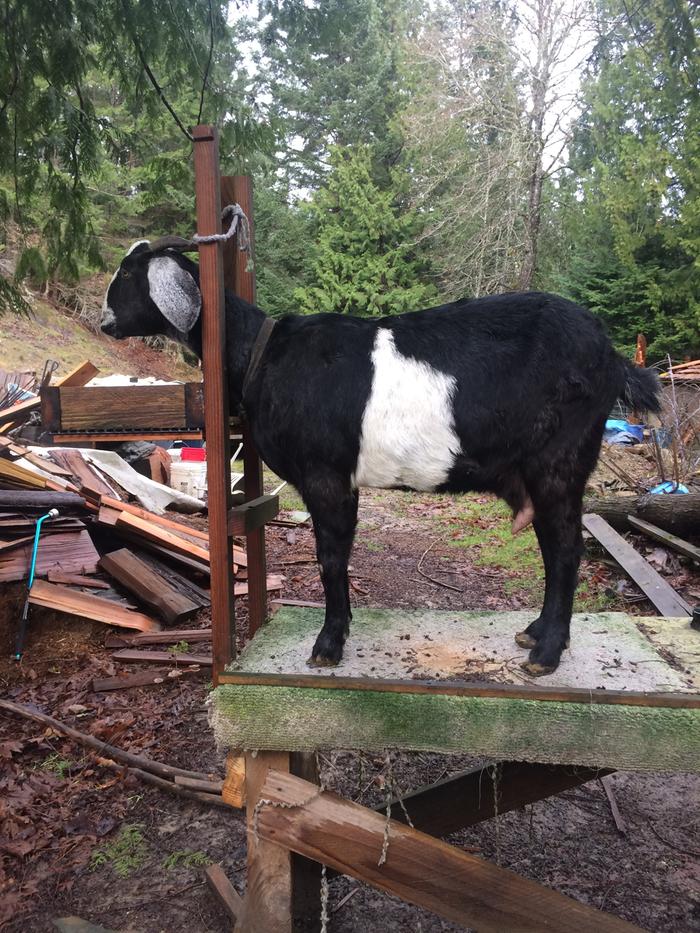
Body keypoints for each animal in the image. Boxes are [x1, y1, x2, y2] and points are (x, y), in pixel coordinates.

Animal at [101, 240, 660, 672]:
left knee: (565, 549)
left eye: (128, 273)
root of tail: (614, 359)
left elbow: (330, 557)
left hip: (560, 461)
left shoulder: (325, 474)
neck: (265, 354)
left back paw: (546, 654)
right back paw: (536, 632)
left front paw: (328, 645)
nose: (105, 321)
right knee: (551, 545)